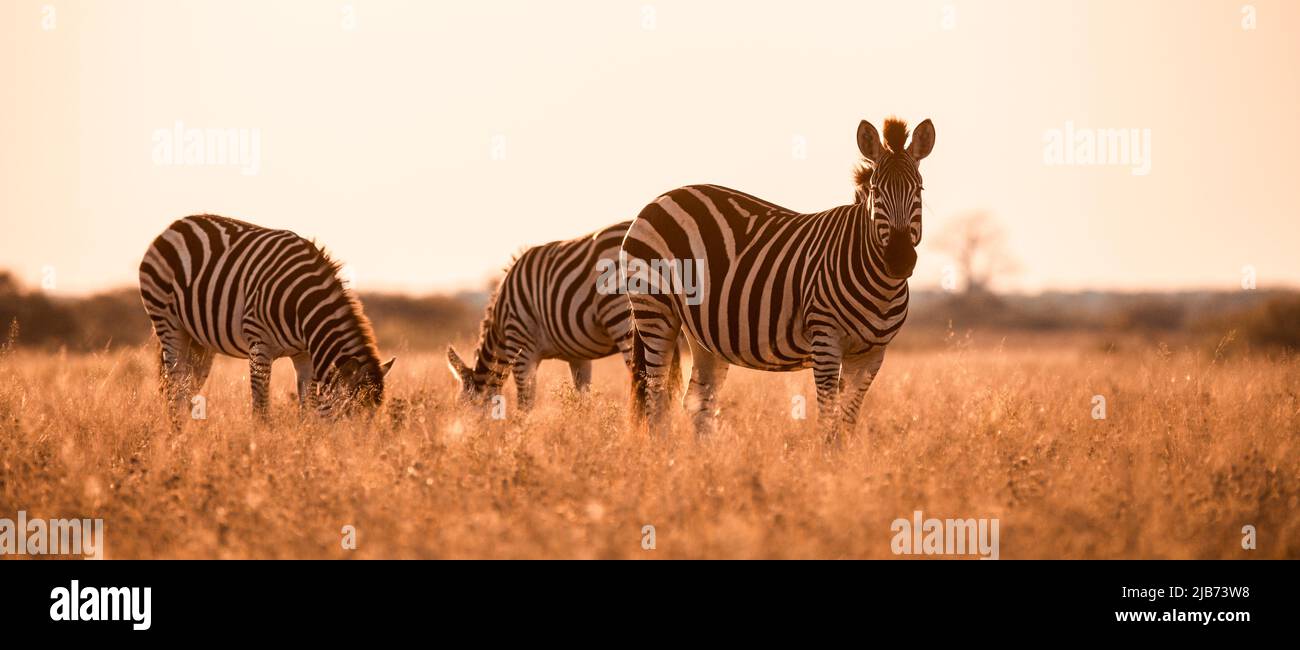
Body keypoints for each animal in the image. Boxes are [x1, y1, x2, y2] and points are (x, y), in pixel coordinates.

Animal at [137, 214, 392, 426]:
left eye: (372, 418)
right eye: (348, 414)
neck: (302, 308)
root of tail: (175, 225)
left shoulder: (305, 354)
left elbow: (308, 406)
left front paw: (307, 440)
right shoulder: (259, 344)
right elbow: (260, 406)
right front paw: (259, 443)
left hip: (200, 342)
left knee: (188, 386)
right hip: (167, 322)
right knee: (174, 386)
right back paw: (177, 437)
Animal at [444, 220, 681, 408]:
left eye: (462, 408)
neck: (500, 327)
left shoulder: (521, 346)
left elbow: (525, 403)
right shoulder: (578, 357)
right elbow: (583, 399)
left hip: (622, 317)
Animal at [621, 117, 935, 441]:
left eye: (919, 189)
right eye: (875, 190)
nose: (899, 260)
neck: (880, 286)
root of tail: (660, 199)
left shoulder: (872, 354)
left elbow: (847, 421)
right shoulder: (825, 339)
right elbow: (828, 419)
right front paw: (828, 456)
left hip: (701, 332)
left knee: (698, 398)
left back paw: (703, 455)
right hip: (655, 311)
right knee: (656, 397)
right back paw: (663, 451)